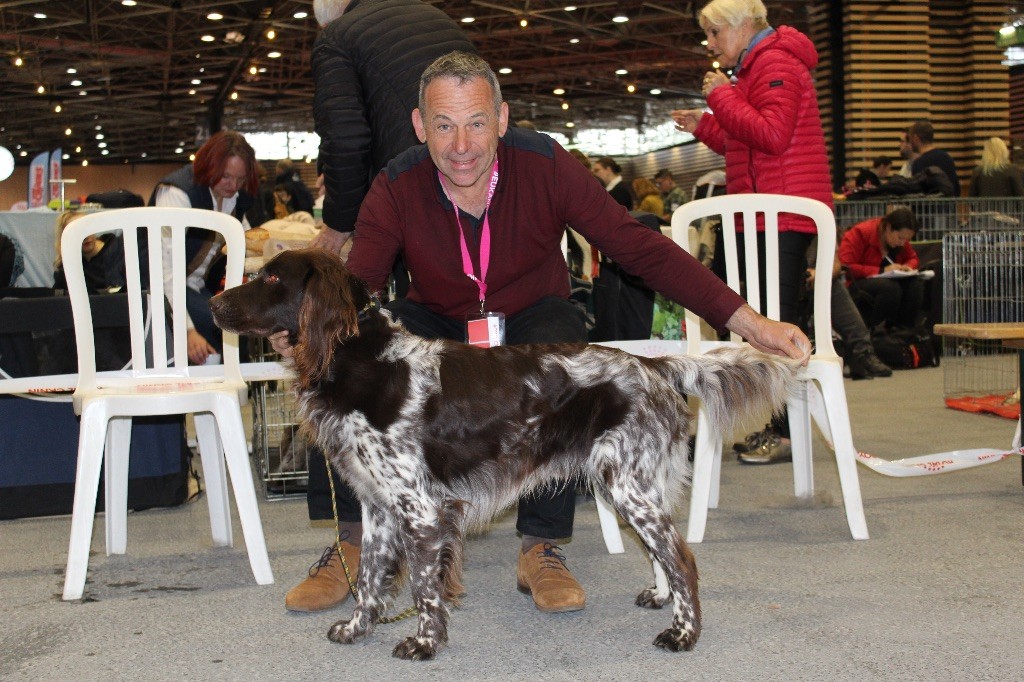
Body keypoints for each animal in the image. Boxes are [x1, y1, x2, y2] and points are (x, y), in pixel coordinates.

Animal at [207, 246, 798, 655]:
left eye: (271, 277)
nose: (212, 302)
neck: (364, 357)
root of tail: (653, 364)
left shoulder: (422, 508)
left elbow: (424, 587)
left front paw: (423, 644)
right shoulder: (377, 505)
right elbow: (370, 579)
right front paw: (356, 628)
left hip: (627, 483)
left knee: (681, 557)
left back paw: (683, 633)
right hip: (631, 482)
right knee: (664, 552)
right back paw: (662, 600)